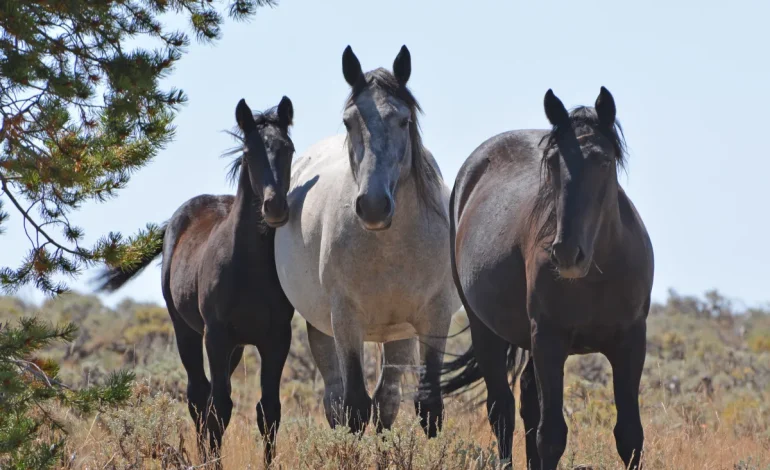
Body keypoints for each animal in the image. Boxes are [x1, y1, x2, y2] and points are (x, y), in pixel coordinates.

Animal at [96, 97, 296, 467]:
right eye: (248, 153)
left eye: (287, 148)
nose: (274, 207)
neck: (249, 267)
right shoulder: (216, 335)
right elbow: (220, 409)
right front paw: (212, 462)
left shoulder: (277, 338)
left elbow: (268, 411)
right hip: (188, 331)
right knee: (198, 397)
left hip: (235, 346)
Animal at [274, 45, 460, 436]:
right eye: (349, 122)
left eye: (404, 121)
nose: (374, 206)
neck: (389, 247)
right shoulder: (345, 320)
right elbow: (355, 407)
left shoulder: (434, 318)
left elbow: (428, 409)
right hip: (321, 327)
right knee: (335, 399)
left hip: (399, 333)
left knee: (387, 397)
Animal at [441, 88, 653, 470]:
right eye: (553, 162)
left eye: (603, 161)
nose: (567, 253)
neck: (598, 276)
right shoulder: (550, 340)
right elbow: (551, 435)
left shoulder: (631, 341)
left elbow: (630, 435)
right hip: (488, 331)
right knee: (502, 410)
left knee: (526, 401)